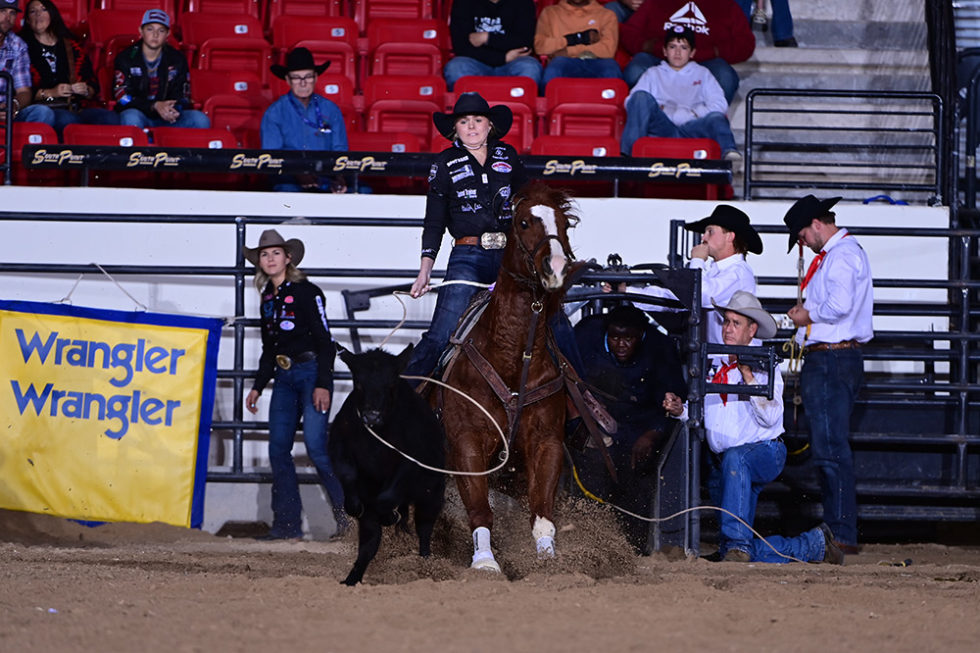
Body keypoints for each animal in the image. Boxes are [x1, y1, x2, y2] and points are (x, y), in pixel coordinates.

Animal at [334, 344, 448, 584]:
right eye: (358, 383)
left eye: (391, 384)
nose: (371, 417)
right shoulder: (339, 444)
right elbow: (348, 475)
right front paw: (355, 505)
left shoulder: (410, 463)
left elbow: (388, 497)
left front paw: (390, 514)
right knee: (369, 544)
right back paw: (351, 579)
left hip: (432, 494)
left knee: (424, 529)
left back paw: (426, 563)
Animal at [438, 180, 580, 572]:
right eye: (523, 222)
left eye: (565, 223)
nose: (556, 266)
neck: (514, 359)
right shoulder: (467, 441)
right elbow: (479, 510)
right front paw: (485, 562)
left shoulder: (546, 443)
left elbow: (542, 513)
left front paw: (548, 561)